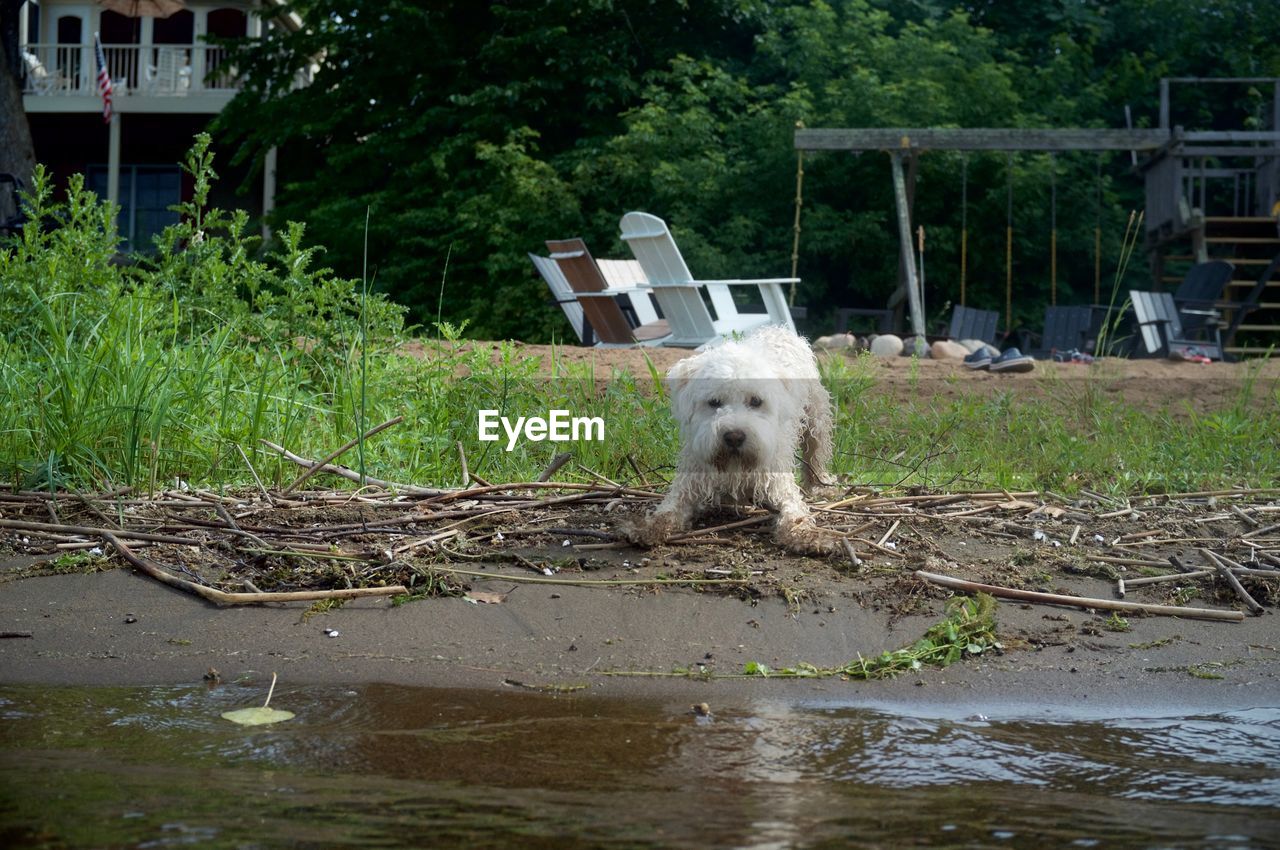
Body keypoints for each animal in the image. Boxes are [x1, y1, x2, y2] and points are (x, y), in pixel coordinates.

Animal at [627, 326, 844, 558]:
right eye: (714, 402)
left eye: (756, 401)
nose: (734, 436)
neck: (734, 464)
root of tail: (777, 329)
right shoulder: (688, 485)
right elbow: (667, 512)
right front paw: (647, 528)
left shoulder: (779, 485)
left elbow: (794, 515)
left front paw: (808, 536)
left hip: (816, 421)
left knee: (815, 456)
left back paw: (819, 485)